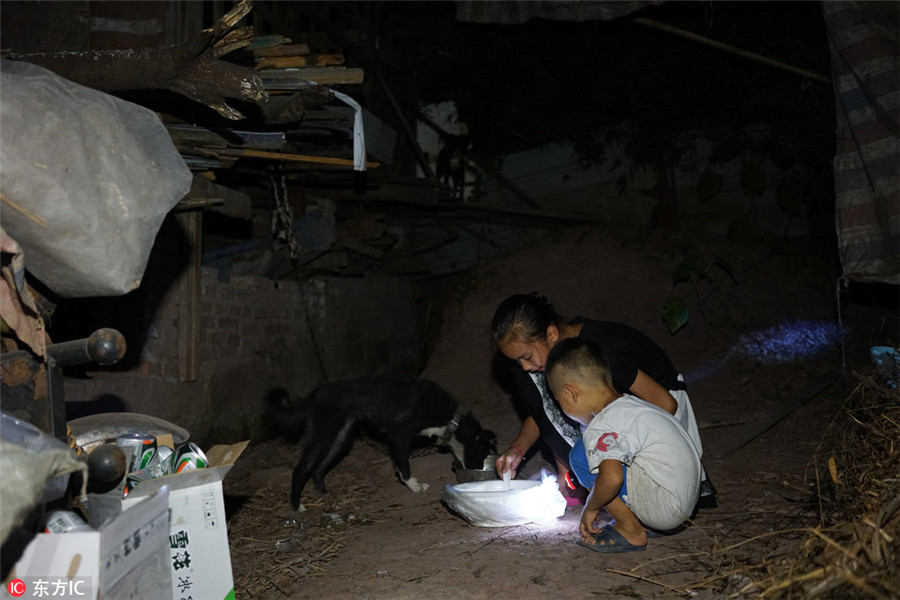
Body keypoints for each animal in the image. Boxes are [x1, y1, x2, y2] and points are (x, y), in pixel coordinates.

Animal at [268, 376, 496, 510]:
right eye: (481, 453)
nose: (477, 471)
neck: (450, 420)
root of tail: (317, 392)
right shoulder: (399, 436)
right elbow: (405, 468)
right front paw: (414, 485)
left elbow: (400, 465)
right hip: (323, 435)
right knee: (301, 469)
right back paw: (297, 506)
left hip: (341, 439)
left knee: (318, 469)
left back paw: (323, 492)